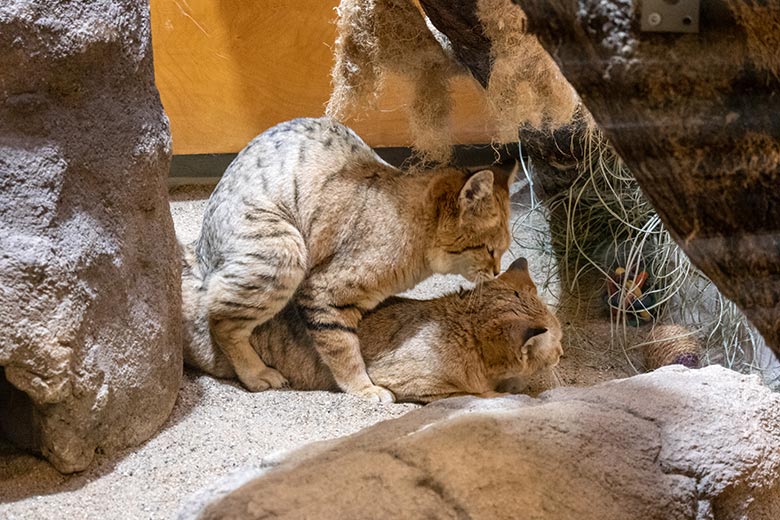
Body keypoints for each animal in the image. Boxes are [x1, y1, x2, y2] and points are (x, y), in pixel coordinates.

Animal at [180, 117, 516, 402]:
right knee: (219, 318)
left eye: (503, 249)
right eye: (489, 249)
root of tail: (201, 249)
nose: (498, 271)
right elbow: (344, 350)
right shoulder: (323, 292)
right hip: (284, 253)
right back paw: (258, 374)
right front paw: (366, 389)